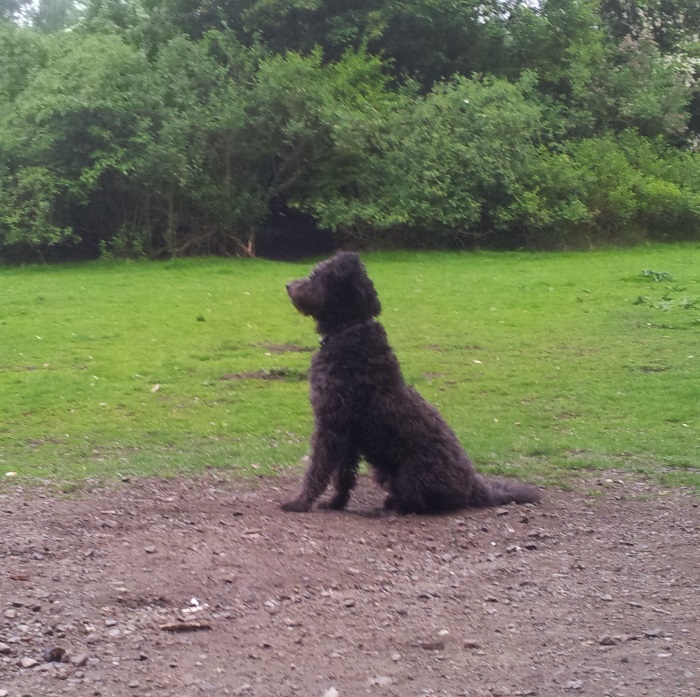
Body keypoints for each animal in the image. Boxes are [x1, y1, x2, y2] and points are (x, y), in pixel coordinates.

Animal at [280, 250, 540, 512]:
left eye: (315, 274)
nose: (288, 285)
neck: (351, 329)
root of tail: (475, 487)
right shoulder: (347, 436)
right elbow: (344, 476)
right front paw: (335, 503)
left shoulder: (330, 426)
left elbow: (318, 470)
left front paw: (300, 502)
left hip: (412, 475)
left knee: (422, 502)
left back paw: (393, 505)